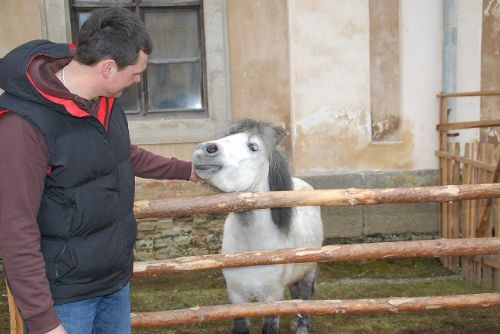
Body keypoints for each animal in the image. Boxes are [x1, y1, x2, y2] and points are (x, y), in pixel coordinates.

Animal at [191, 120, 324, 334]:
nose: (205, 149)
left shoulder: (272, 298)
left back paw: (301, 327)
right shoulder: (236, 296)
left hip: (308, 272)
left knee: (305, 299)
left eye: (253, 146)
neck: (252, 250)